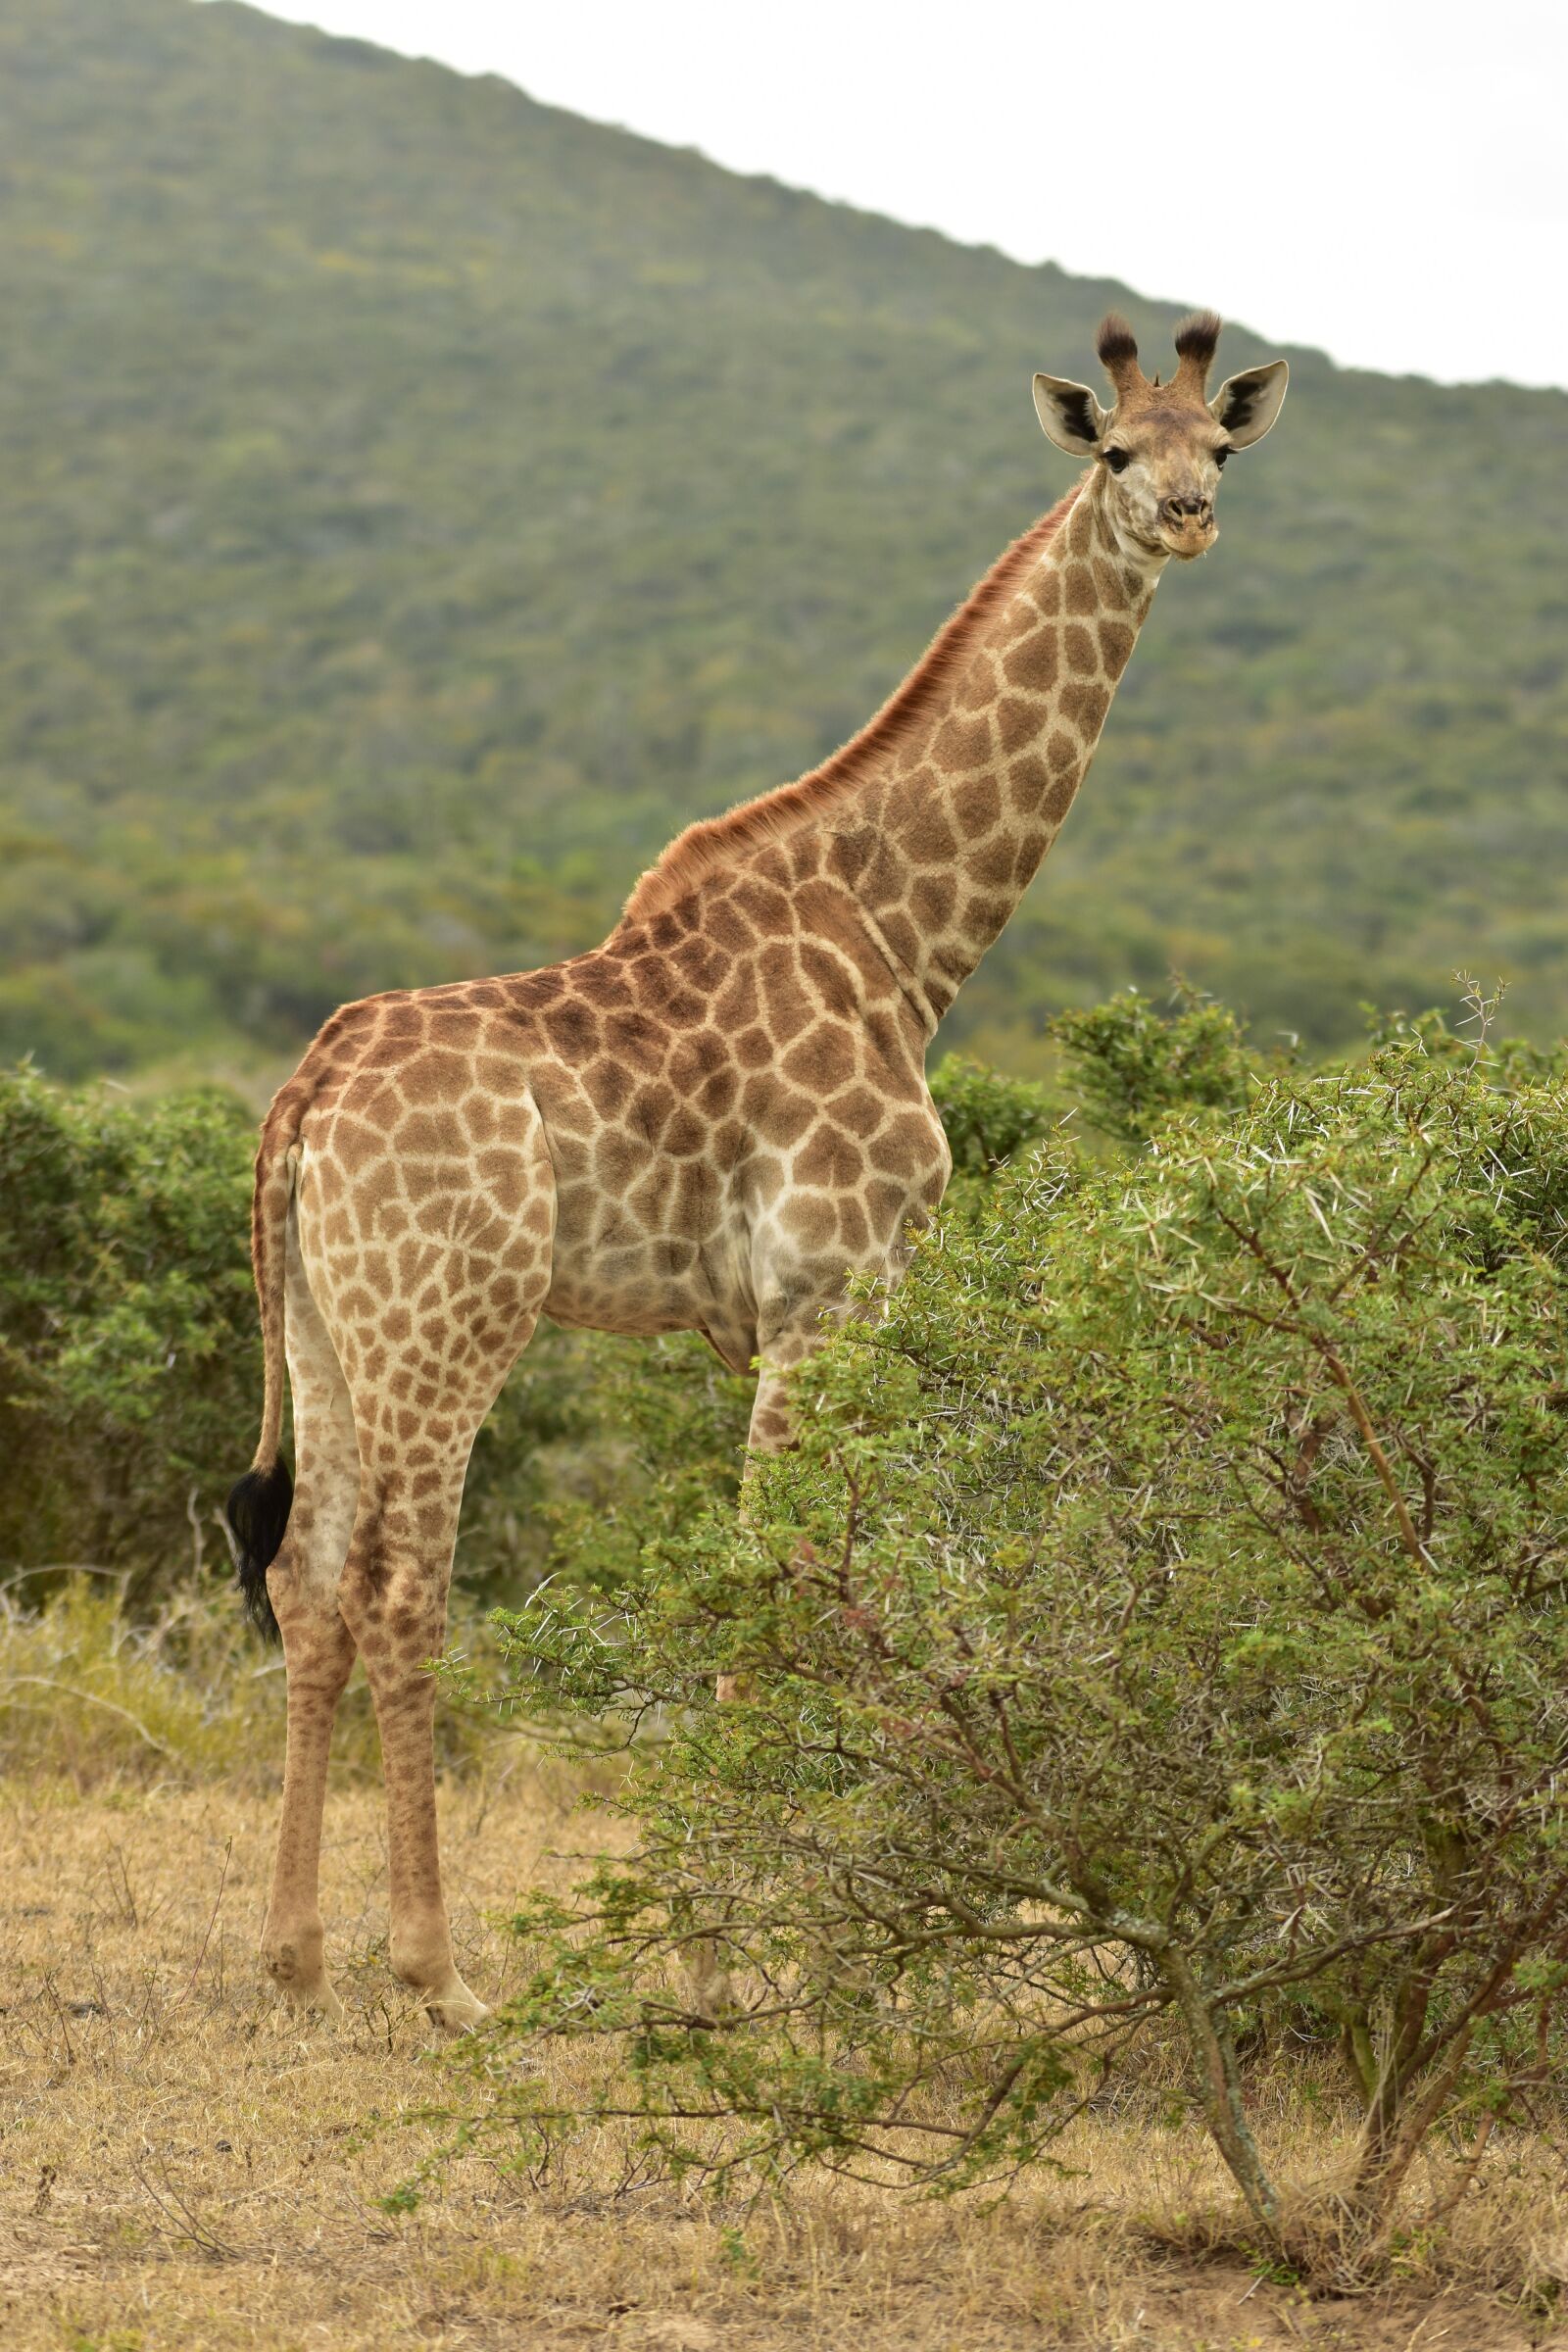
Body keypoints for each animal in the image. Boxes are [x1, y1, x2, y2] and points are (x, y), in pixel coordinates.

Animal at [227, 311, 1288, 2033]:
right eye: (1121, 453)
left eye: (1223, 447)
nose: (1188, 518)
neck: (905, 940)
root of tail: (298, 1103)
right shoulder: (828, 1291)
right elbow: (776, 1592)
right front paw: (726, 1957)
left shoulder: (787, 1320)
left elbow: (860, 1584)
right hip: (447, 1320)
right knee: (398, 1587)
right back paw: (440, 1973)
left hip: (322, 1322)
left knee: (311, 1581)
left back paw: (295, 1957)